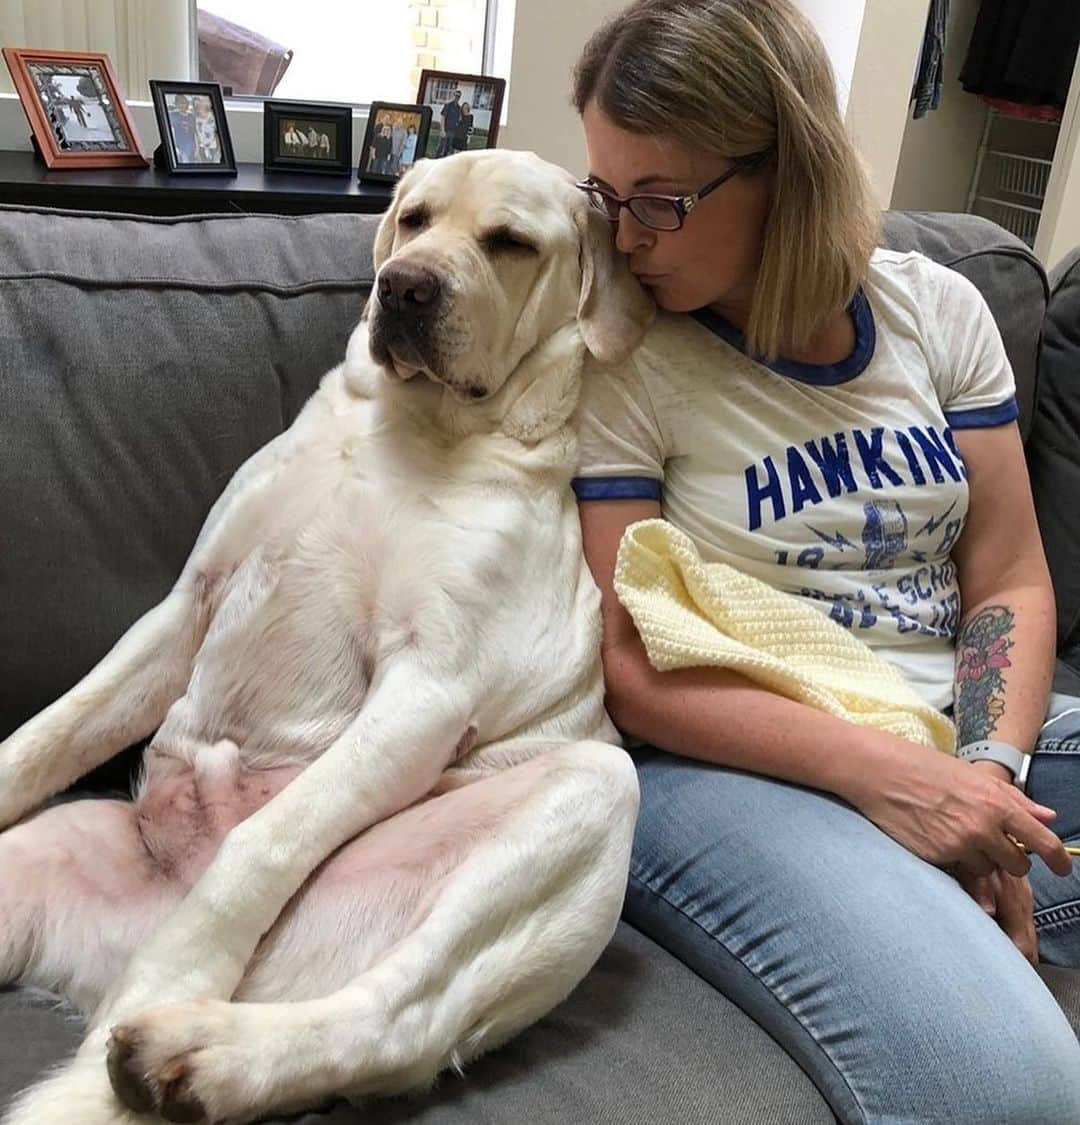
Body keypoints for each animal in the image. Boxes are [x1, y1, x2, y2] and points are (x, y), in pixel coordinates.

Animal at [0, 151, 652, 1125]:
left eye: (510, 243)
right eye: (415, 219)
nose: (404, 287)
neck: (405, 424)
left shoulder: (426, 691)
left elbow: (264, 839)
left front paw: (177, 969)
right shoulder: (186, 607)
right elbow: (46, 735)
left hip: (592, 791)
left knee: (397, 1017)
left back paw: (199, 1046)